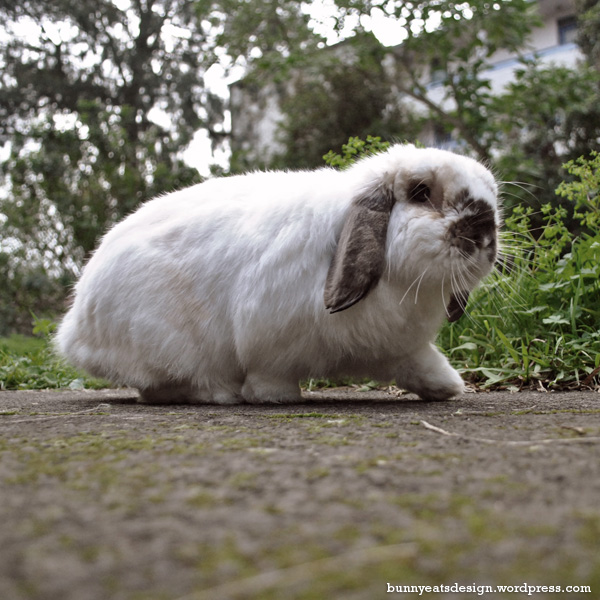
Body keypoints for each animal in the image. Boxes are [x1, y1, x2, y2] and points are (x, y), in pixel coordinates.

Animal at [55, 144, 500, 404]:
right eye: (421, 193)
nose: (484, 233)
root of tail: (76, 327)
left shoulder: (401, 346)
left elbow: (421, 362)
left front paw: (446, 387)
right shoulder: (272, 342)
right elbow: (270, 377)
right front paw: (275, 398)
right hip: (166, 342)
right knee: (162, 383)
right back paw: (222, 394)